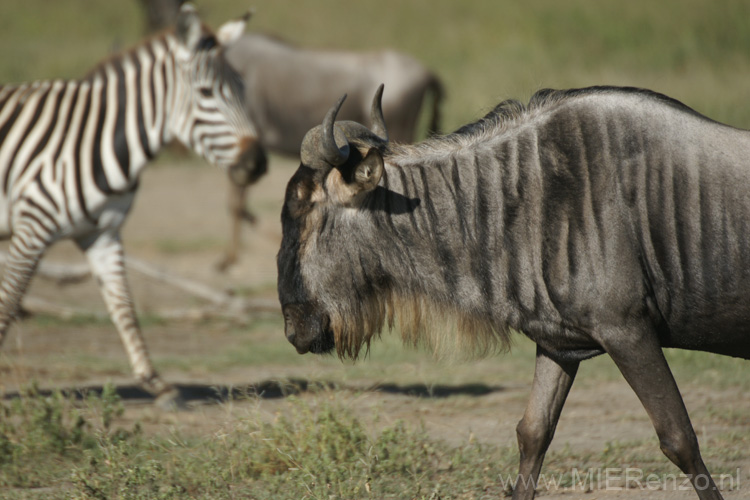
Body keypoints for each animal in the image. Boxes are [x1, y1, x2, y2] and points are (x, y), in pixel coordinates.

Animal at [0, 3, 268, 406]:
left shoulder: (102, 233)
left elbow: (123, 305)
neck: (97, 140)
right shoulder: (32, 228)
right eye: (206, 93)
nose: (258, 163)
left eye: (242, 88)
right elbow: (9, 299)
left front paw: (155, 382)